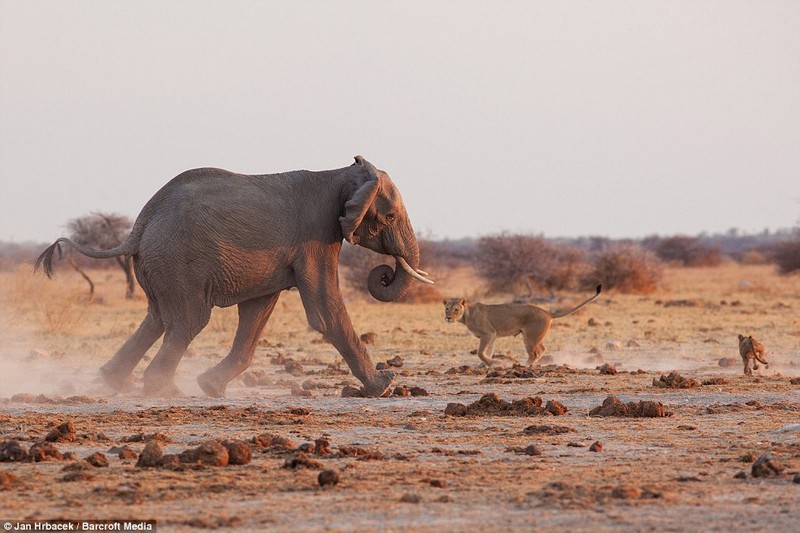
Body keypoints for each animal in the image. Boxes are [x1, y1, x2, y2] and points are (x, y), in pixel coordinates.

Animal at [34, 156, 434, 396]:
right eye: (390, 216)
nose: (383, 275)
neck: (340, 173)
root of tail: (140, 224)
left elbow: (258, 311)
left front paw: (211, 388)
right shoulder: (317, 235)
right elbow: (325, 312)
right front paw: (384, 387)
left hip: (158, 265)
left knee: (158, 318)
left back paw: (113, 382)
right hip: (177, 262)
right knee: (188, 321)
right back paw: (164, 391)